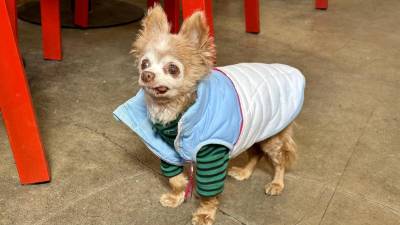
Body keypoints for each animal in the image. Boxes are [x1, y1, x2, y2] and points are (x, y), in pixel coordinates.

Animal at [114, 5, 304, 225]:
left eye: (172, 68)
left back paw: (277, 184)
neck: (177, 112)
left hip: (271, 137)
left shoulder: (211, 154)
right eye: (144, 64)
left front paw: (204, 213)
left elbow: (208, 190)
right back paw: (244, 173)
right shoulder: (165, 149)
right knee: (256, 153)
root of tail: (288, 70)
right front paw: (177, 195)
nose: (146, 75)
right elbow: (174, 178)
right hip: (255, 130)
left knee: (279, 160)